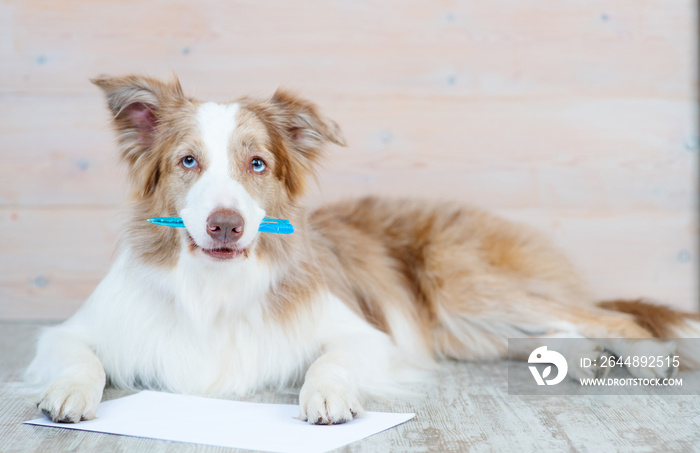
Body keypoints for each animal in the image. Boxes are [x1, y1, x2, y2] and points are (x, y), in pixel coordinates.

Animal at [26, 74, 700, 424]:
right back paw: (576, 359)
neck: (213, 288)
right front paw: (68, 393)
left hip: (457, 281)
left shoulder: (367, 335)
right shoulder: (75, 328)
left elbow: (332, 361)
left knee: (616, 317)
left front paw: (325, 394)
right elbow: (76, 356)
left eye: (257, 164)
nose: (225, 226)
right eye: (188, 161)